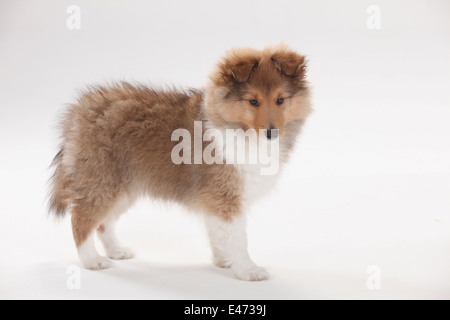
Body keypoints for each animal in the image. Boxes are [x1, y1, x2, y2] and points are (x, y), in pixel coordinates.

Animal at [47, 44, 312, 280]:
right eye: (253, 101)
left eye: (280, 100)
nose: (272, 133)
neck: (238, 130)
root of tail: (78, 110)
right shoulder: (225, 197)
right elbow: (237, 237)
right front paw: (248, 270)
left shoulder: (215, 199)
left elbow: (218, 232)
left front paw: (224, 261)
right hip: (102, 179)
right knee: (81, 219)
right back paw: (92, 260)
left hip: (124, 185)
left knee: (104, 222)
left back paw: (116, 251)